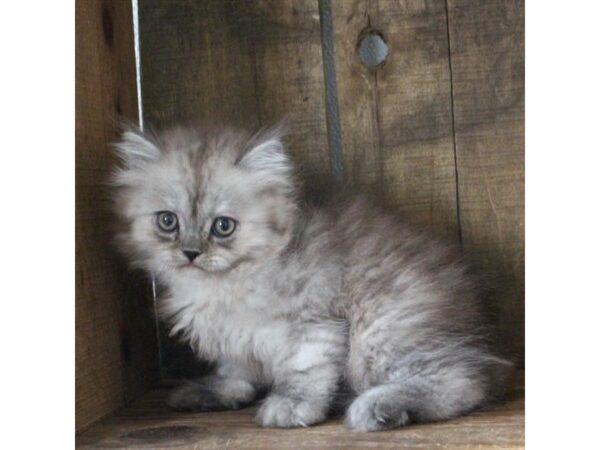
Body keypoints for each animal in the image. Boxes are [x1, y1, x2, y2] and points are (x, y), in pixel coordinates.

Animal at [113, 122, 516, 428]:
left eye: (223, 227)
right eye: (168, 221)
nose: (191, 253)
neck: (226, 285)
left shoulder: (315, 323)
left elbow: (305, 373)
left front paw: (292, 406)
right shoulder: (234, 339)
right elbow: (235, 374)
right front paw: (214, 393)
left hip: (382, 331)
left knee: (464, 382)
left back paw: (378, 407)